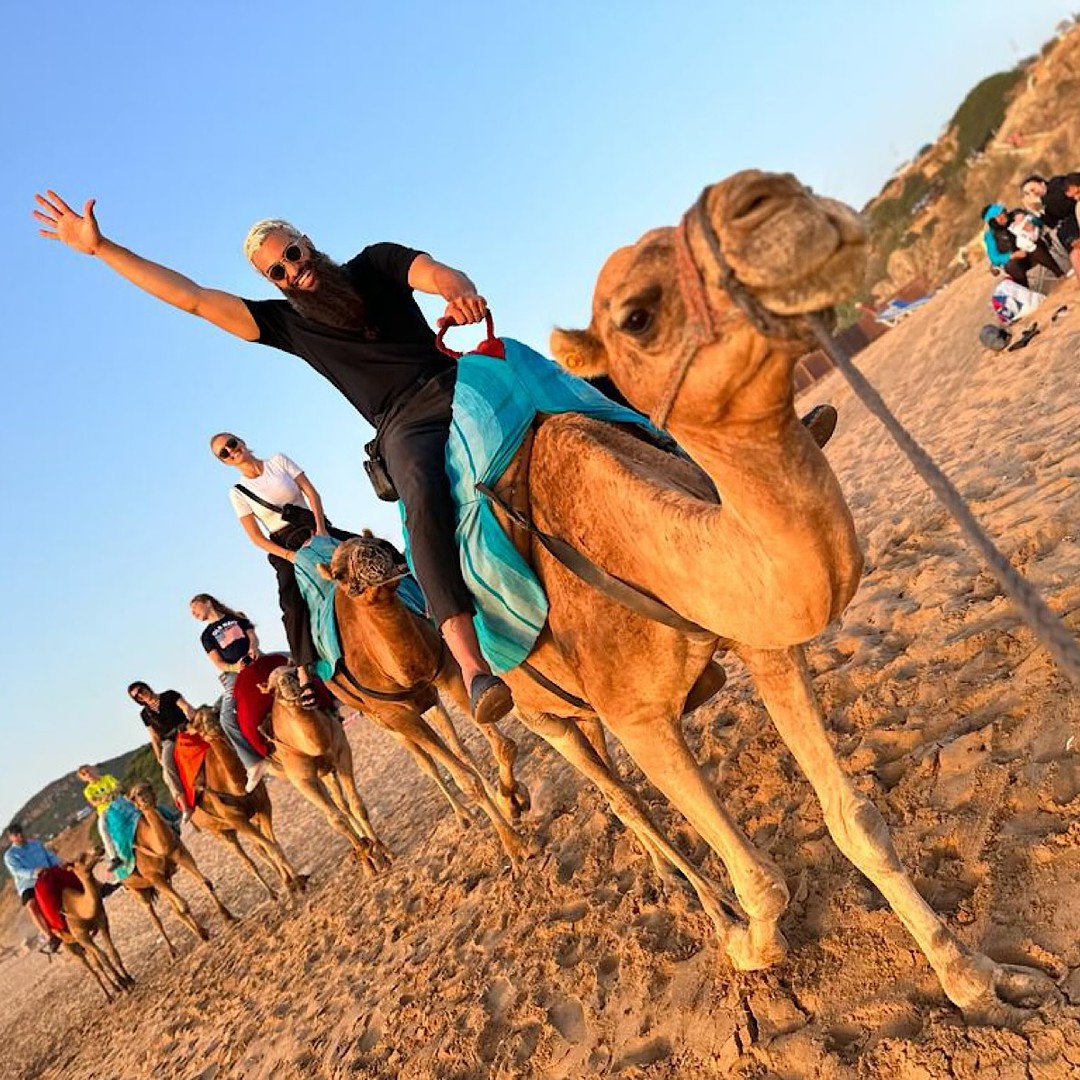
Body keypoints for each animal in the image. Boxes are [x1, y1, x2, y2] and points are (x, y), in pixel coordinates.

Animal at [51, 855, 133, 1000]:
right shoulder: (82, 936)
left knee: (95, 962)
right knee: (91, 967)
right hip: (70, 946)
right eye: (80, 858)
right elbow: (103, 957)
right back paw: (109, 996)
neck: (79, 909)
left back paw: (115, 989)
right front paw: (124, 983)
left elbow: (111, 952)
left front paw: (129, 979)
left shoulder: (102, 922)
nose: (99, 851)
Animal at [125, 780, 236, 947]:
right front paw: (204, 934)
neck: (157, 845)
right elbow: (183, 906)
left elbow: (205, 883)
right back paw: (173, 950)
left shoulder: (180, 853)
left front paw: (228, 916)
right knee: (155, 918)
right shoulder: (153, 875)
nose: (144, 799)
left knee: (173, 908)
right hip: (137, 891)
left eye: (148, 787)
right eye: (133, 796)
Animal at [185, 707, 307, 896]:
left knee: (259, 849)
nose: (213, 726)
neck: (236, 786)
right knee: (247, 859)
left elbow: (273, 845)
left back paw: (283, 883)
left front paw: (296, 881)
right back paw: (272, 893)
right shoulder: (236, 819)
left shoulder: (263, 806)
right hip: (220, 832)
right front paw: (295, 883)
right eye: (197, 724)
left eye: (215, 712)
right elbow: (270, 848)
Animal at [260, 664, 391, 875]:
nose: (286, 681)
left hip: (327, 771)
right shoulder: (302, 779)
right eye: (272, 688)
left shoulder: (342, 751)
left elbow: (357, 805)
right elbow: (335, 819)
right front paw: (366, 858)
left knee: (342, 803)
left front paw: (383, 852)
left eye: (294, 670)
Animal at [317, 542, 530, 873]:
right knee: (426, 763)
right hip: (384, 723)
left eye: (373, 543)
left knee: (458, 748)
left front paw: (511, 798)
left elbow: (500, 744)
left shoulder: (448, 672)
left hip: (430, 700)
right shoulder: (396, 715)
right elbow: (463, 779)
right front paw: (515, 848)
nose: (370, 552)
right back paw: (462, 817)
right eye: (339, 573)